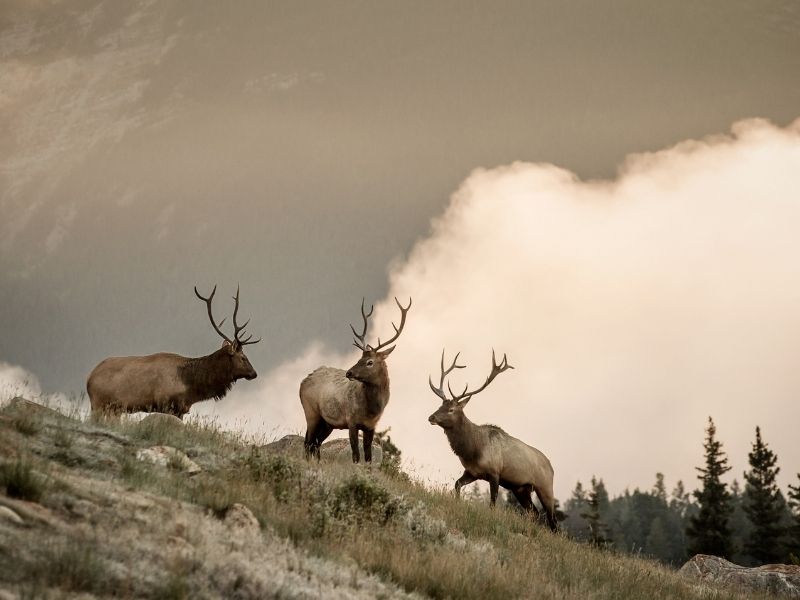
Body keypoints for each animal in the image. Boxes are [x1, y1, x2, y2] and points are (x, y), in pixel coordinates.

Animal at [88, 286, 260, 418]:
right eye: (243, 357)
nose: (254, 373)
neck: (190, 387)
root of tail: (89, 379)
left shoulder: (181, 409)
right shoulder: (168, 405)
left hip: (114, 409)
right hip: (98, 404)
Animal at [300, 298, 412, 462]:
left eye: (369, 362)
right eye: (360, 358)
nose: (349, 372)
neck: (371, 409)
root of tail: (303, 382)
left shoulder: (371, 426)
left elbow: (368, 456)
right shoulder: (351, 420)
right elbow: (356, 455)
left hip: (327, 423)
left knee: (315, 443)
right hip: (311, 412)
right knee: (308, 442)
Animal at [428, 352, 560, 528]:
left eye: (451, 409)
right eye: (440, 405)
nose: (431, 417)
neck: (473, 450)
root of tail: (552, 467)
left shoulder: (495, 472)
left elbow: (492, 502)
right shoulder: (472, 472)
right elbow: (456, 485)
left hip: (545, 487)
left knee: (553, 522)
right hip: (521, 488)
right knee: (534, 513)